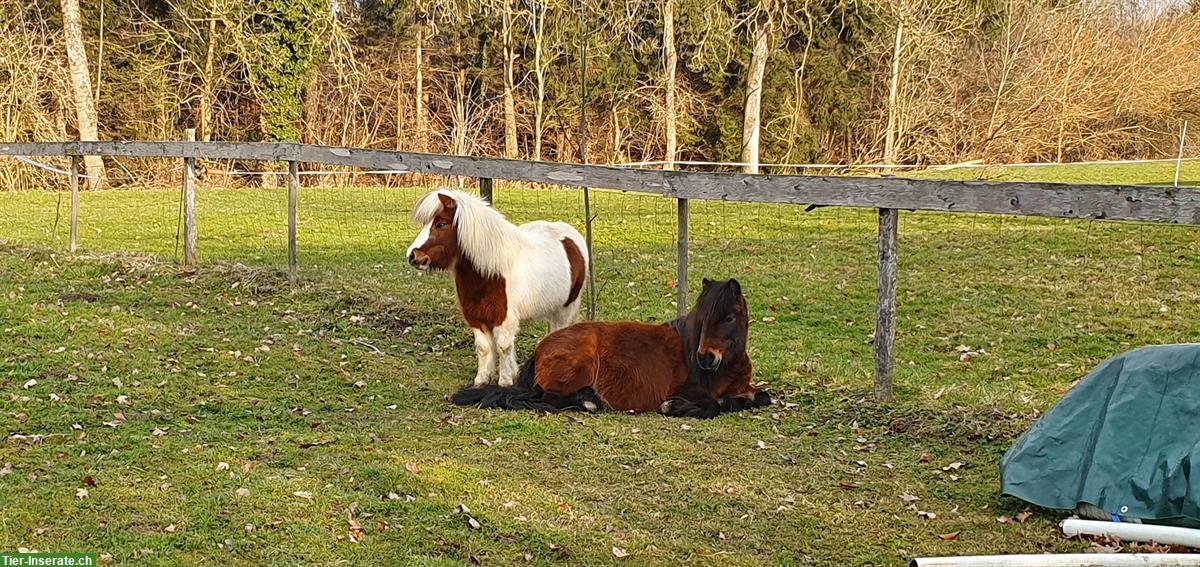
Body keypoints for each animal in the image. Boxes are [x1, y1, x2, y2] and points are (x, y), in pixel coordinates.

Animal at [405, 188, 588, 386]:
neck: (490, 273)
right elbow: (484, 347)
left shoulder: (503, 317)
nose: (412, 256)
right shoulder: (476, 317)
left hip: (565, 309)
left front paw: (505, 381)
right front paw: (482, 380)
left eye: (440, 224)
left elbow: (503, 346)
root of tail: (571, 235)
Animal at [448, 276, 768, 418]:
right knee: (547, 400)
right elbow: (712, 406)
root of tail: (542, 349)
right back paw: (590, 402)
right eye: (703, 318)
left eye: (729, 317)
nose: (706, 357)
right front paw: (675, 406)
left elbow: (762, 397)